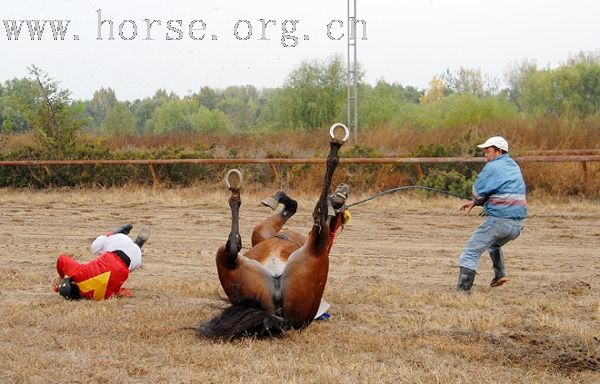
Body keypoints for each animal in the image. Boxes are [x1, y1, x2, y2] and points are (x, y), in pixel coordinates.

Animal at [199, 125, 352, 340]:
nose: (343, 189)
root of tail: (281, 318)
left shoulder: (262, 231)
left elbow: (293, 206)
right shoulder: (263, 231)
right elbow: (292, 205)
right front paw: (277, 198)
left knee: (232, 248)